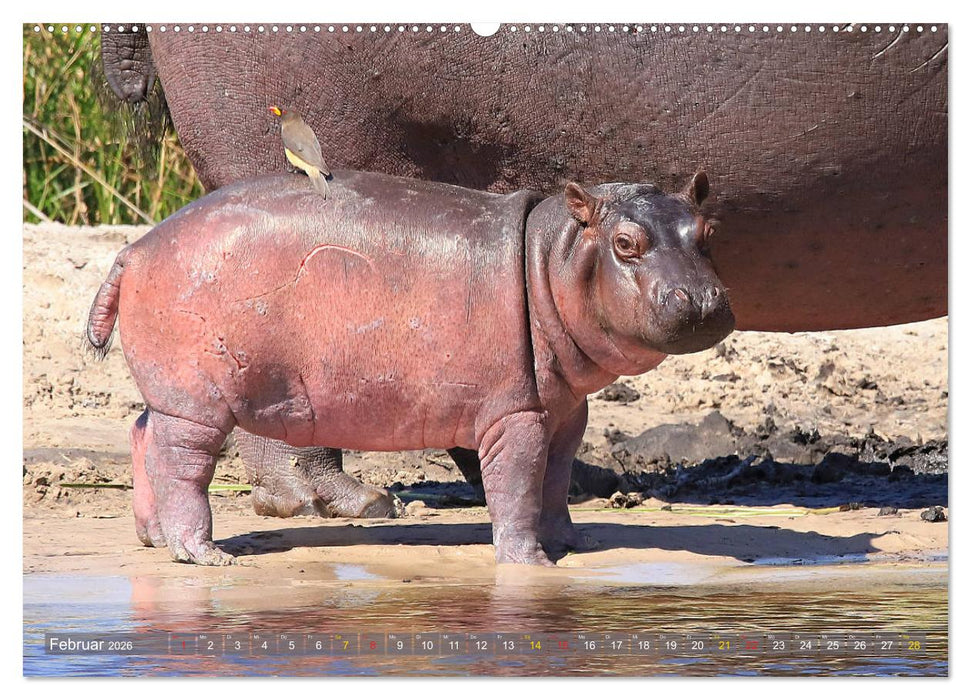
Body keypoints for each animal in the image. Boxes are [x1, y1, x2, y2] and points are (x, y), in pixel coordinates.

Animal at [86, 169, 733, 566]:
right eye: (625, 243)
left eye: (707, 231)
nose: (704, 301)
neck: (552, 256)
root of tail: (134, 249)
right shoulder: (516, 413)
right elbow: (518, 485)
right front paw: (530, 564)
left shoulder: (565, 410)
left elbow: (554, 481)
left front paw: (573, 543)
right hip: (198, 402)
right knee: (181, 465)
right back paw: (205, 554)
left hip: (172, 394)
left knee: (142, 434)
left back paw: (153, 539)